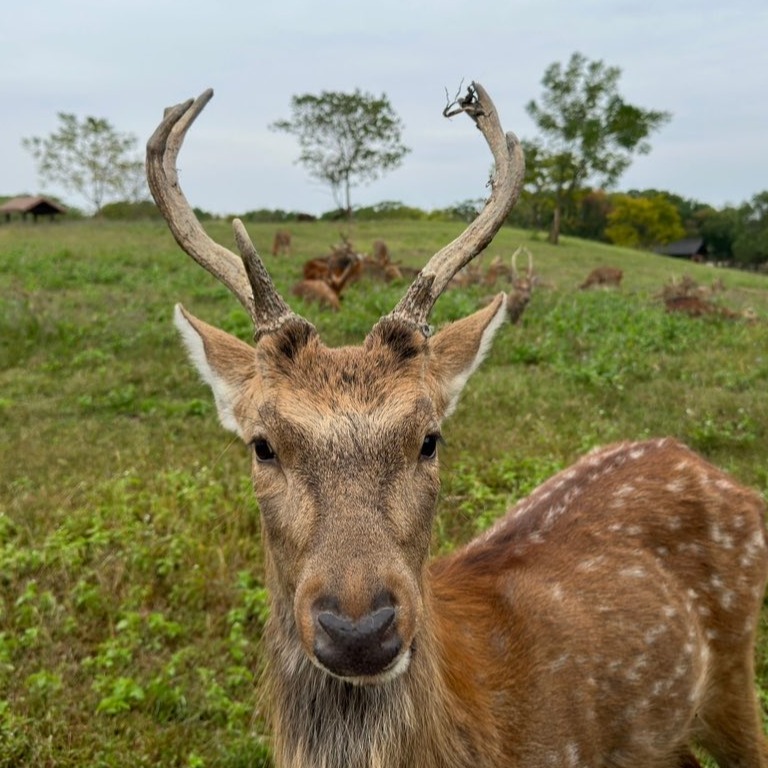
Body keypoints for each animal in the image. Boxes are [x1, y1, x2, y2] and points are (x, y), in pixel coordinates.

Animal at [146, 82, 768, 768]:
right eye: (263, 446)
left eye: (429, 440)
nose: (359, 631)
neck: (478, 727)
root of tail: (717, 471)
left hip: (735, 673)